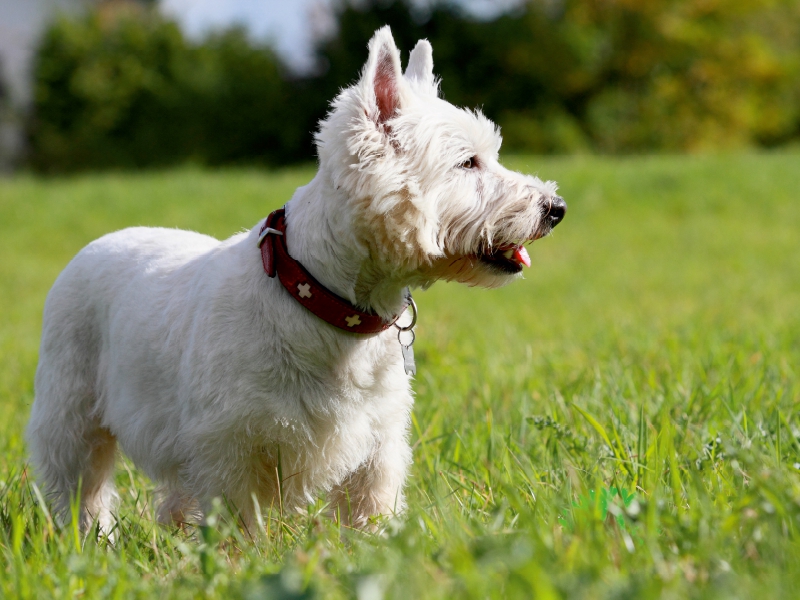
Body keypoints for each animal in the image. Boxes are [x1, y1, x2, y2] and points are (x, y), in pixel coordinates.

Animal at [25, 27, 564, 536]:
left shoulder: (378, 443)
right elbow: (237, 522)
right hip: (71, 412)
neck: (327, 301)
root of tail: (98, 242)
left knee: (172, 497)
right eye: (467, 162)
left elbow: (370, 511)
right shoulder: (228, 444)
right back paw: (90, 541)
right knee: (80, 485)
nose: (555, 208)